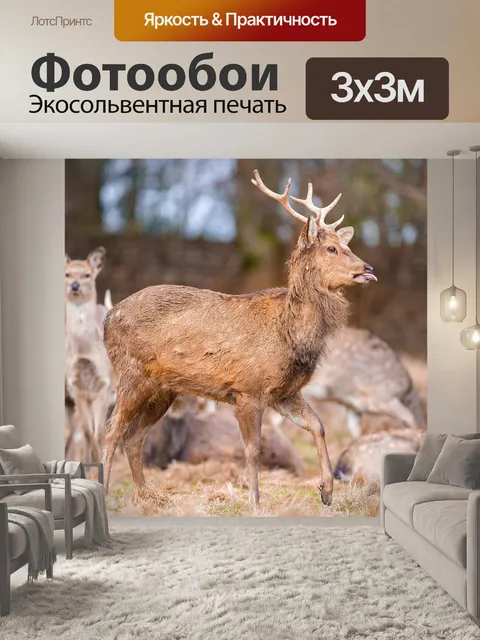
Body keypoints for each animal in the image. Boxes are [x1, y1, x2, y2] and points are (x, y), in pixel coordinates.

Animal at [101, 170, 377, 509]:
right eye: (332, 249)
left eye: (343, 244)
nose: (367, 268)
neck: (289, 334)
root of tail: (107, 318)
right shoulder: (248, 390)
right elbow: (253, 450)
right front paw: (255, 502)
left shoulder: (285, 393)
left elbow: (318, 426)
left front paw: (326, 491)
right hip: (131, 372)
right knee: (112, 431)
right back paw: (105, 492)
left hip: (163, 389)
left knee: (133, 437)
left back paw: (147, 497)